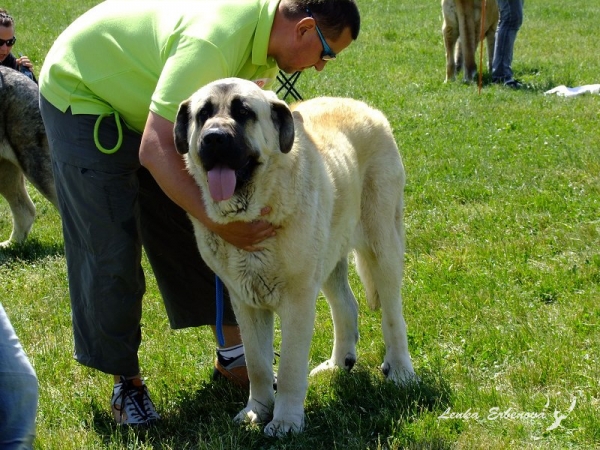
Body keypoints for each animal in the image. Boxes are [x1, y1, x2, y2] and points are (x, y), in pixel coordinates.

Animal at [176, 78, 414, 436]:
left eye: (243, 112)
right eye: (203, 114)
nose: (214, 137)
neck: (257, 206)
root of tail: (367, 108)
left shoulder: (297, 301)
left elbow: (288, 367)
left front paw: (285, 422)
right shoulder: (245, 302)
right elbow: (258, 364)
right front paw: (257, 411)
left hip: (381, 244)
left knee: (392, 314)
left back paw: (400, 370)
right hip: (329, 255)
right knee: (346, 305)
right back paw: (338, 364)